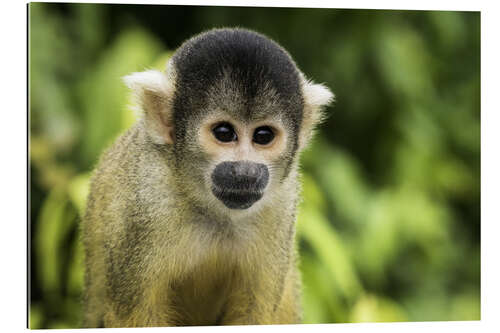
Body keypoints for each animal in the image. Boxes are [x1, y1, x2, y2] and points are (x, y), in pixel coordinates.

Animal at [81, 26, 332, 326]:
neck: (215, 212)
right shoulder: (143, 203)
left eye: (263, 136)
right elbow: (135, 314)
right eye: (224, 133)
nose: (245, 172)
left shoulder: (282, 203)